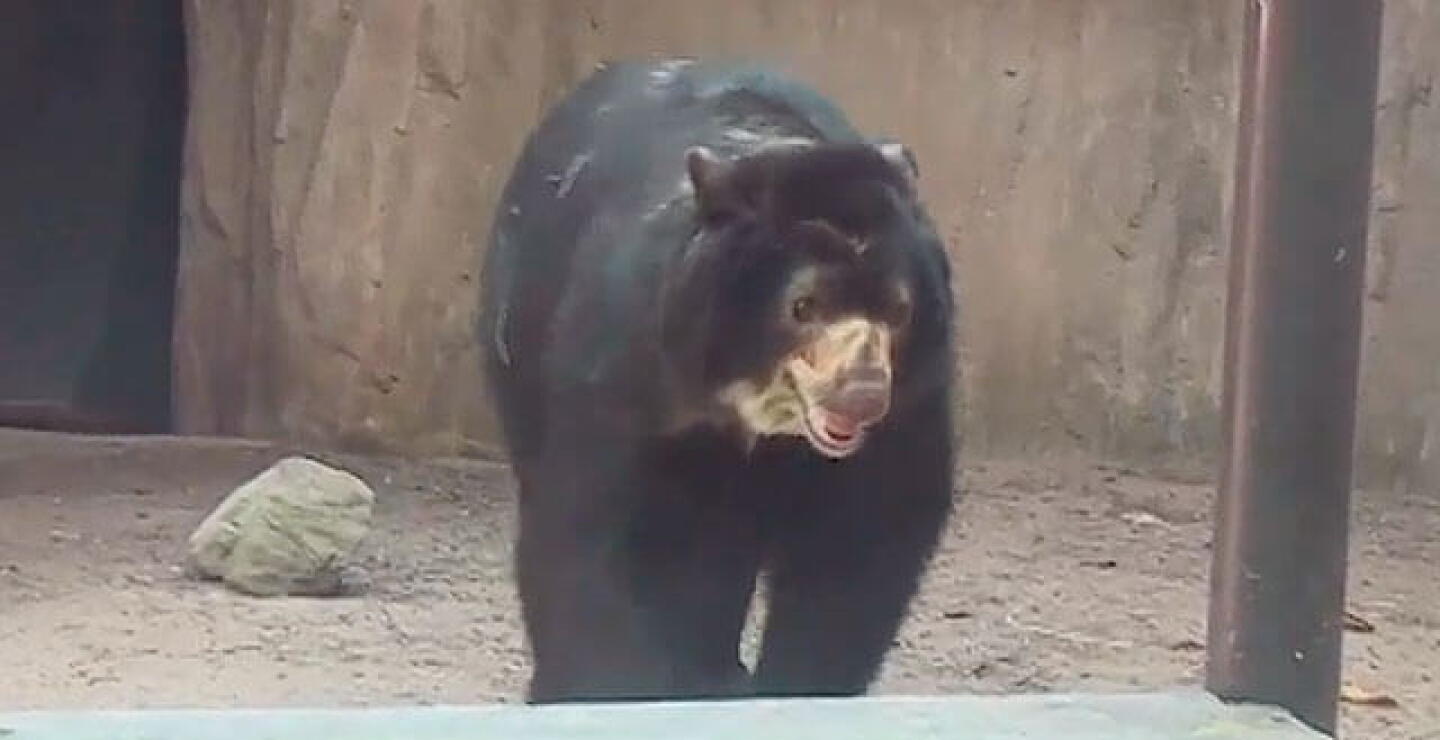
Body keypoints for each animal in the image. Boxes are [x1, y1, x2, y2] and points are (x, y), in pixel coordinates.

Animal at [479, 58, 957, 704]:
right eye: (802, 306)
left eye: (899, 310)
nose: (861, 394)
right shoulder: (628, 366)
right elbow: (593, 531)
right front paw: (605, 685)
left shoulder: (910, 408)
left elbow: (863, 541)